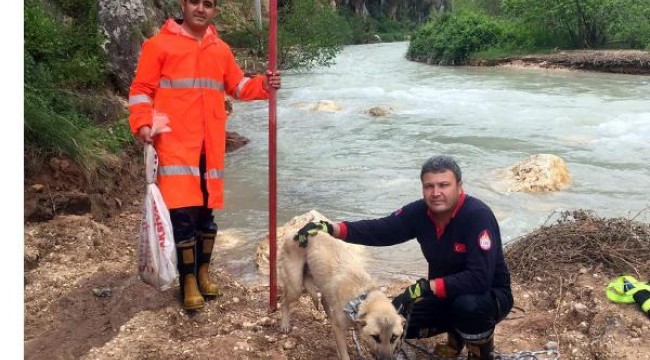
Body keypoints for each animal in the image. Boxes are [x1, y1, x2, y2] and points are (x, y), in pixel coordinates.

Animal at [280, 231, 404, 360]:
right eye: (375, 337)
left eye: (394, 337)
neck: (361, 298)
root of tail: (293, 232)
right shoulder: (339, 330)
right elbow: (344, 354)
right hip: (295, 287)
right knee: (283, 301)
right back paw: (285, 324)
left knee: (319, 296)